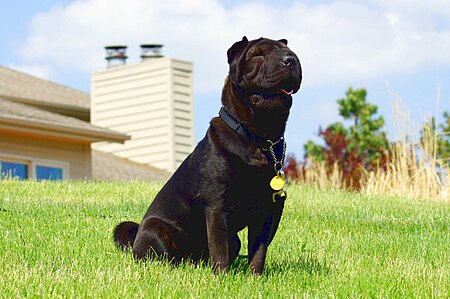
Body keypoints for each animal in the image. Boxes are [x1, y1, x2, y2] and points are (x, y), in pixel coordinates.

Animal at [113, 36, 302, 276]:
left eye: (291, 52)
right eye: (258, 54)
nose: (290, 59)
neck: (258, 138)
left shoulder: (267, 209)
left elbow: (258, 250)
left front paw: (255, 276)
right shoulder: (217, 206)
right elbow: (219, 247)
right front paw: (222, 276)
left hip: (234, 239)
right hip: (155, 228)